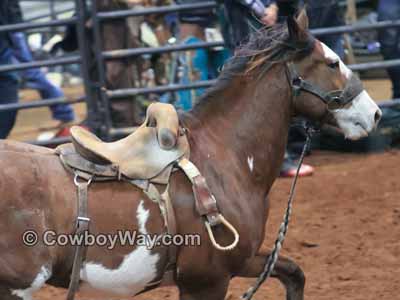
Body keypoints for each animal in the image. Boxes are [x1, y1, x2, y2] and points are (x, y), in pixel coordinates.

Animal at [0, 11, 380, 300]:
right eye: (332, 62)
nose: (374, 113)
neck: (226, 156)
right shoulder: (207, 281)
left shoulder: (243, 260)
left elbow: (293, 272)